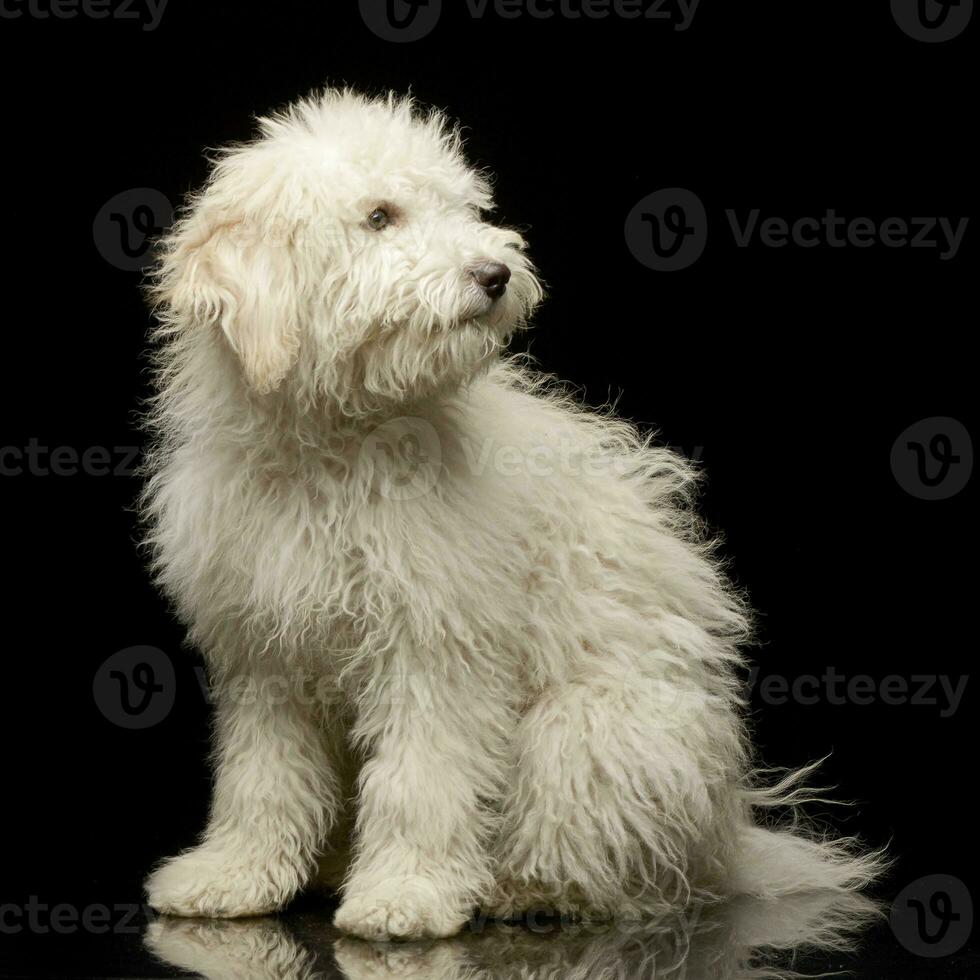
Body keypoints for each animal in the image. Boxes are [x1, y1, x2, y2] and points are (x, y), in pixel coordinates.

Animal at [140, 90, 880, 940]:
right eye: (380, 216)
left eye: (463, 209)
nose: (494, 274)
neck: (333, 451)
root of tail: (723, 837)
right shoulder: (263, 659)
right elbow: (262, 782)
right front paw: (232, 877)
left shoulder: (435, 651)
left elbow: (420, 784)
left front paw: (407, 894)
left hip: (585, 732)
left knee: (605, 867)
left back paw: (512, 888)